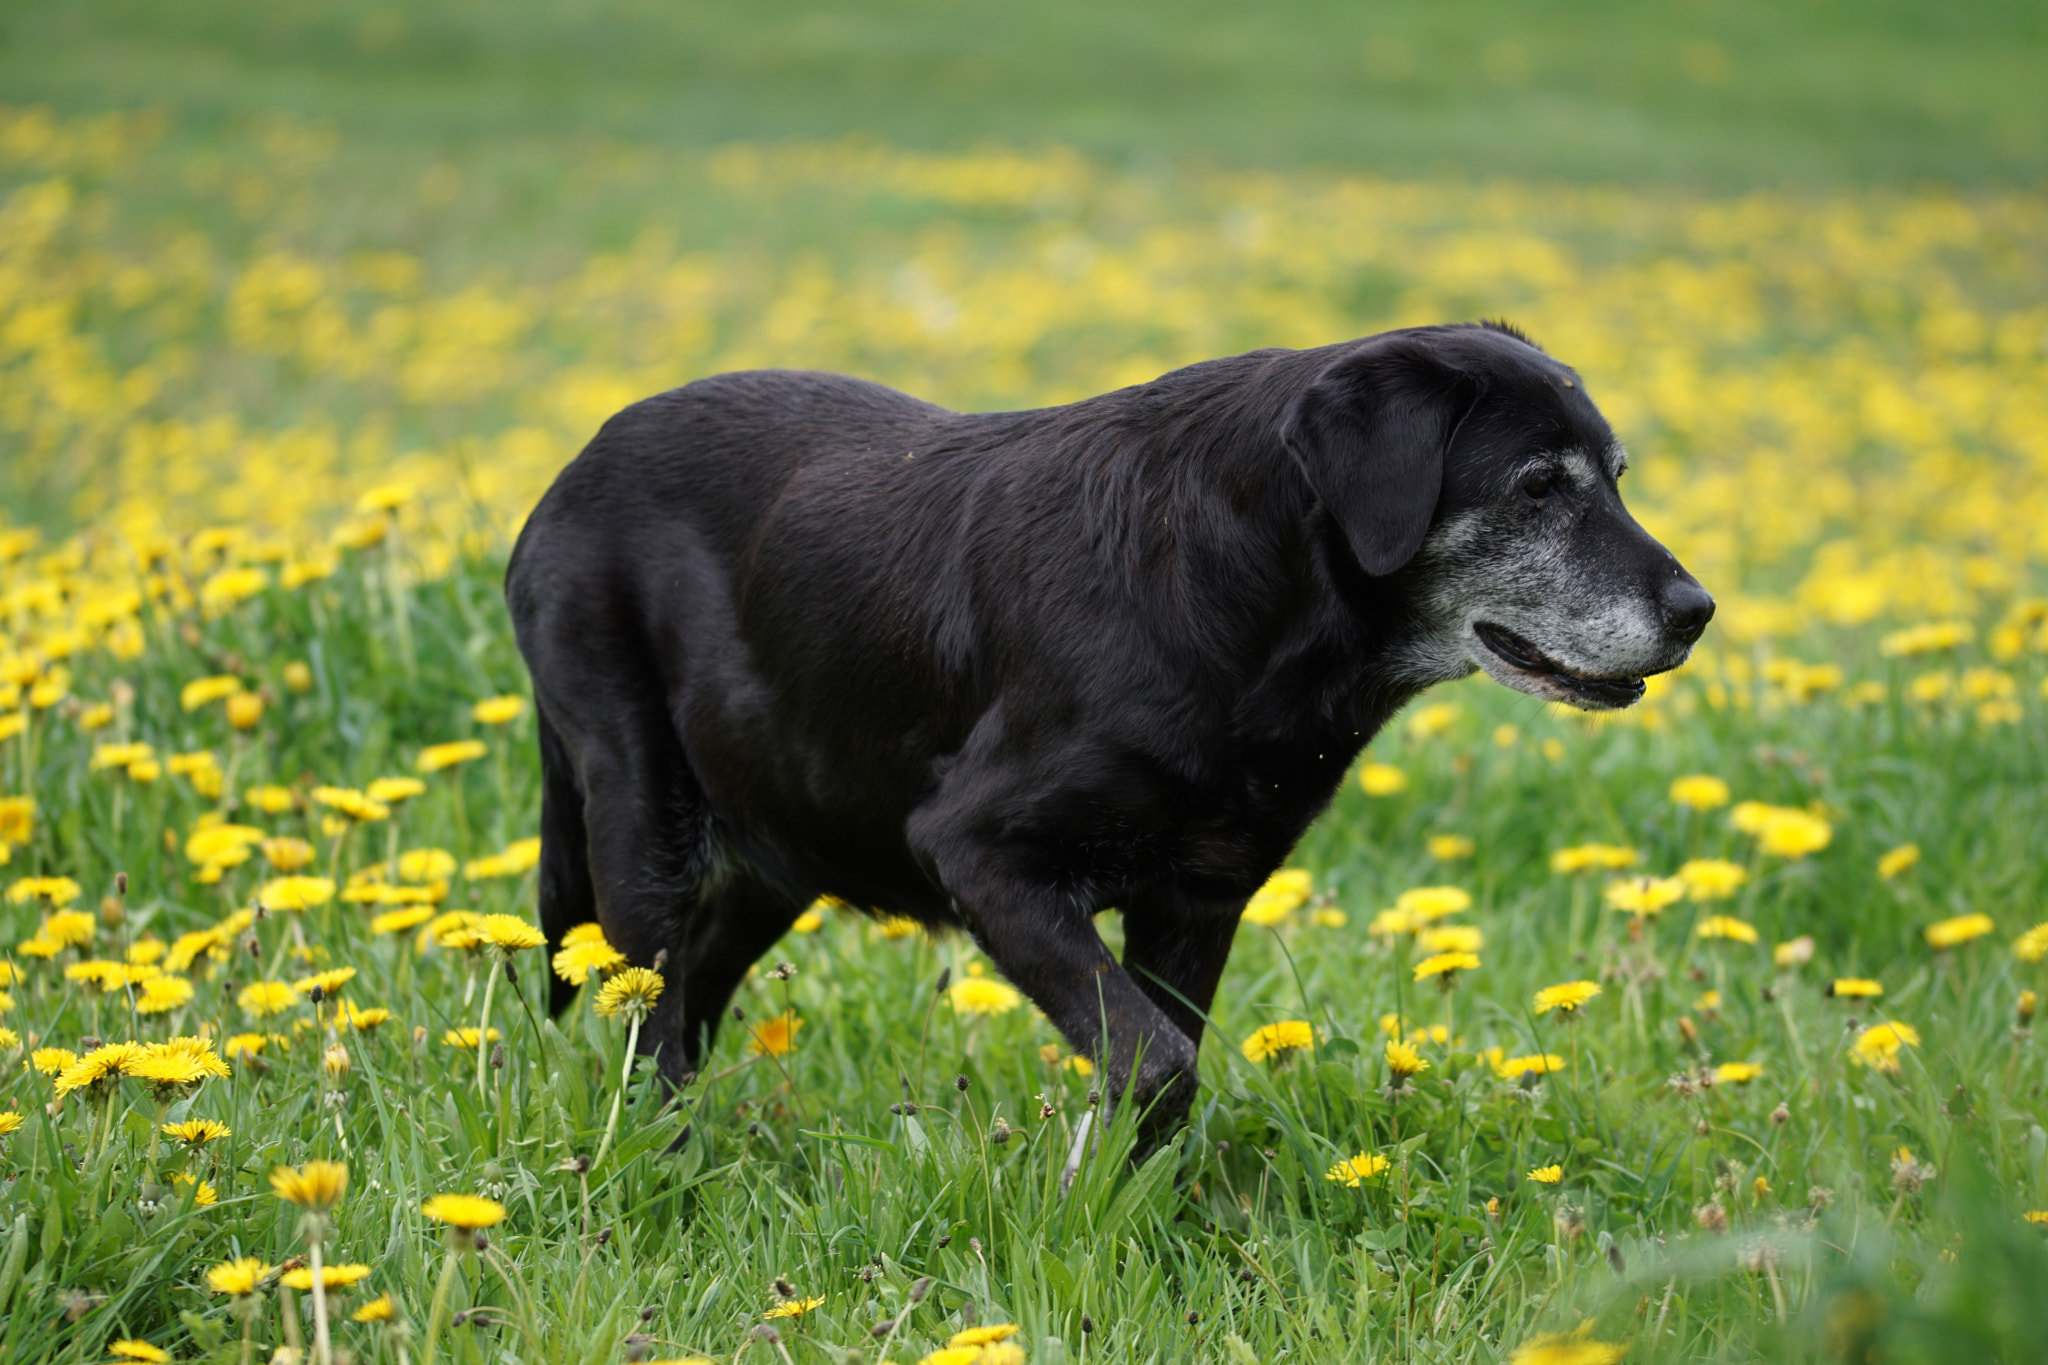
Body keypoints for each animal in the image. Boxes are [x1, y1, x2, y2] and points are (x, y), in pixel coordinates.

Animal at [512, 323, 1712, 1146]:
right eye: (1536, 487)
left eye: (1614, 479)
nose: (1697, 611)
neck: (1241, 604)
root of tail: (566, 474)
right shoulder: (978, 855)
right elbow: (1157, 1059)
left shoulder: (1196, 901)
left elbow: (1163, 1064)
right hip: (639, 807)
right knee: (646, 1002)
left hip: (789, 833)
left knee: (689, 988)